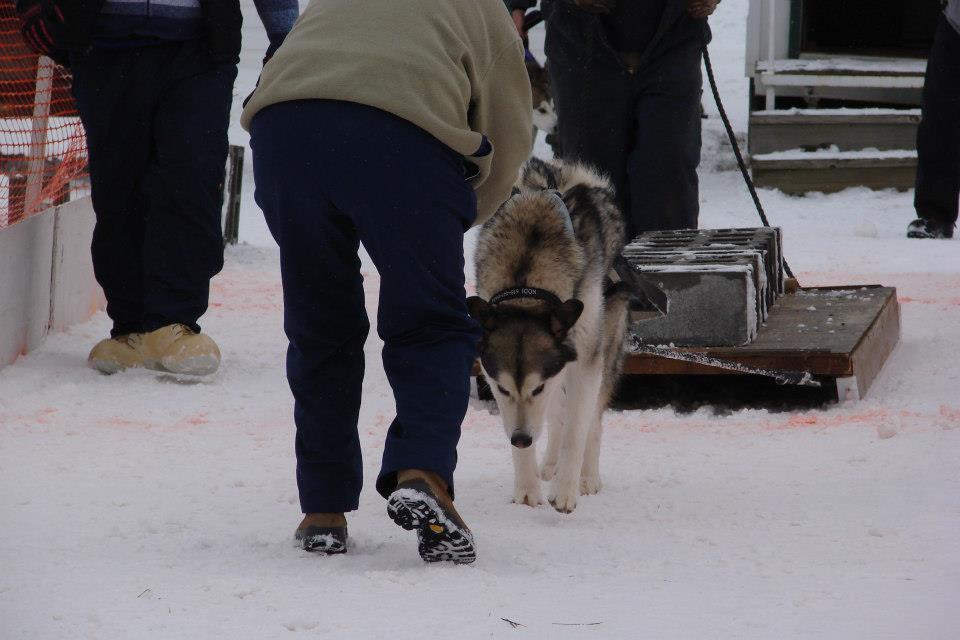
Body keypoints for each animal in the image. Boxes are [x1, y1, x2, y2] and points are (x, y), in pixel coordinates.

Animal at [468, 158, 632, 512]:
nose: (521, 438)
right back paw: (550, 464)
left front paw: (566, 489)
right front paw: (527, 486)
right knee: (557, 414)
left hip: (606, 347)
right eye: (502, 389)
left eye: (537, 387)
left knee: (592, 420)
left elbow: (576, 431)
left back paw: (587, 476)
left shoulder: (584, 363)